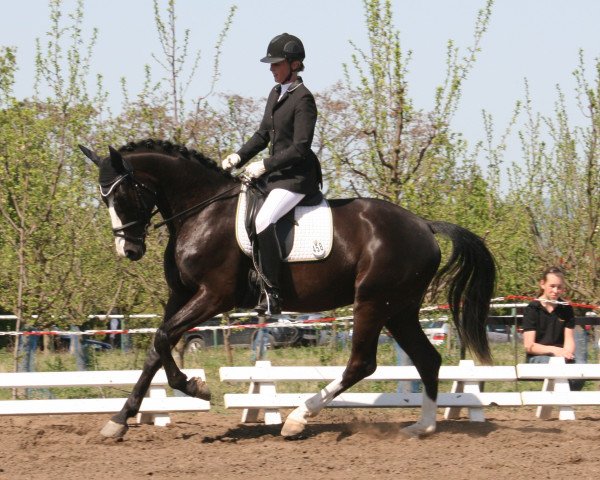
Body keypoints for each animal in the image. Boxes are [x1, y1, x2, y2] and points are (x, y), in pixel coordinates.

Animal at [78, 138, 492, 438]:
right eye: (102, 198)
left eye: (121, 196)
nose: (129, 250)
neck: (201, 211)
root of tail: (424, 225)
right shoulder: (179, 297)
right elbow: (156, 347)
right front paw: (119, 420)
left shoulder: (214, 296)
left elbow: (164, 337)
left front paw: (195, 387)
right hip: (399, 309)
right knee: (427, 359)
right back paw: (423, 426)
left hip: (373, 302)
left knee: (362, 363)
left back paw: (297, 419)